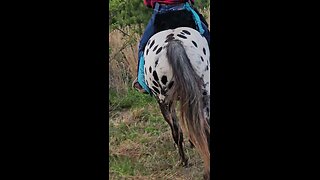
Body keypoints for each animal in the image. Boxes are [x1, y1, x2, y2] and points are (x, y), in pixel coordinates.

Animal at [142, 8, 210, 179]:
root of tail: (174, 41)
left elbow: (177, 129)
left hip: (164, 100)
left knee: (177, 130)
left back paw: (184, 160)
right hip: (204, 92)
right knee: (204, 125)